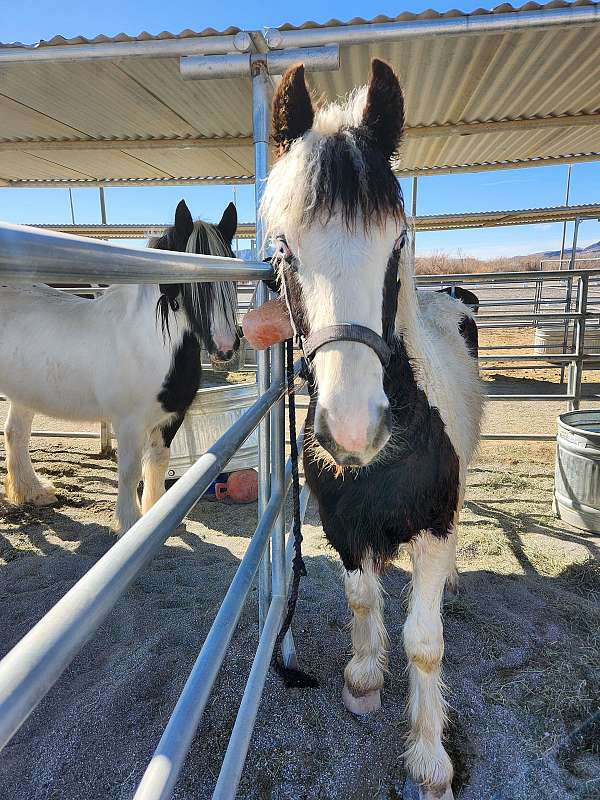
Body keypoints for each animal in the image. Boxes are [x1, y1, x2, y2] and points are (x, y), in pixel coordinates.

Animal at [0, 200, 239, 536]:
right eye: (192, 281)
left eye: (231, 274)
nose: (226, 346)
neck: (148, 343)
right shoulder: (128, 423)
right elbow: (129, 472)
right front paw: (130, 524)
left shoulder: (171, 417)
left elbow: (158, 463)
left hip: (25, 393)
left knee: (16, 434)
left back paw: (33, 491)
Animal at [262, 59, 482, 796]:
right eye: (285, 250)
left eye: (398, 243)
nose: (354, 430)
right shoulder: (342, 523)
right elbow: (361, 598)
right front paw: (362, 678)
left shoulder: (435, 527)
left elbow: (425, 641)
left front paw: (430, 757)